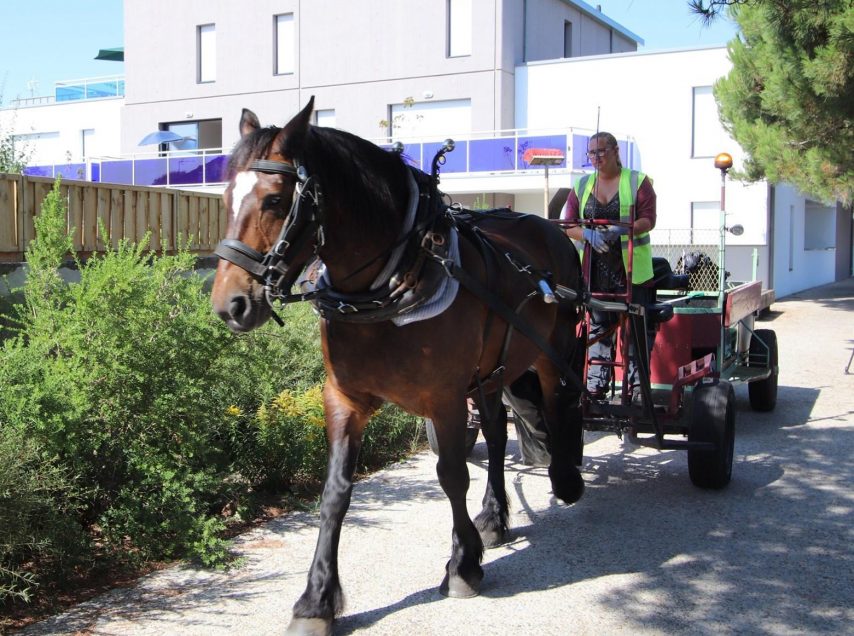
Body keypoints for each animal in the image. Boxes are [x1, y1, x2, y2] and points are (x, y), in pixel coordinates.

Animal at [212, 97, 588, 632]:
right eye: (226, 197)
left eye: (275, 201)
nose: (230, 305)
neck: (389, 286)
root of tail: (544, 226)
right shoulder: (344, 398)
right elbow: (335, 493)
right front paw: (316, 599)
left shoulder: (445, 399)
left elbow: (452, 475)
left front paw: (462, 565)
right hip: (491, 372)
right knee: (497, 434)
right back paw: (494, 516)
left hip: (550, 350)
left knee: (557, 404)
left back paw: (565, 479)